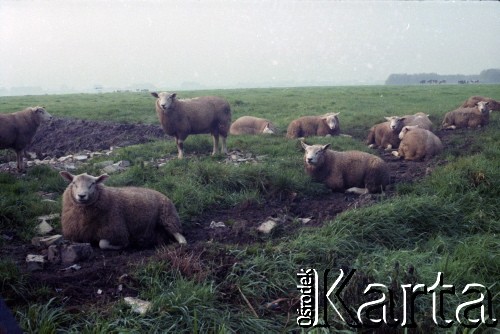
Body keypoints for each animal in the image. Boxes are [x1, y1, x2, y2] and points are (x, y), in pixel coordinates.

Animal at [59, 171, 187, 249]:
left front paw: (124, 245)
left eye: (93, 183)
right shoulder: (77, 234)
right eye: (74, 183)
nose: (81, 196)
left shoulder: (117, 231)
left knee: (179, 235)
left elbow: (102, 244)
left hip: (168, 217)